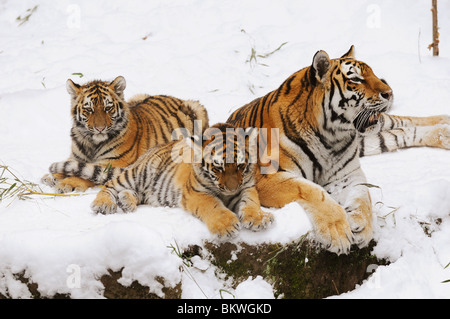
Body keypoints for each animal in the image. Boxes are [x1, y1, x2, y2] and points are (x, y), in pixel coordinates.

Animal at [41, 76, 208, 194]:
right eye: (89, 110)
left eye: (108, 108)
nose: (100, 128)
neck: (92, 143)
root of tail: (176, 98)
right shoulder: (76, 158)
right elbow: (69, 165)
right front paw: (51, 177)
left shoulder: (113, 163)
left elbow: (83, 173)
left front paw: (66, 183)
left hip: (197, 108)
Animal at [229, 45, 450, 255]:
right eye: (356, 79)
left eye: (372, 73)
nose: (389, 92)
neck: (331, 137)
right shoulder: (267, 178)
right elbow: (312, 190)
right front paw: (337, 233)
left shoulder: (349, 174)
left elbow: (363, 196)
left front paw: (361, 225)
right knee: (400, 132)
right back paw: (445, 133)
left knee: (401, 121)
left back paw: (445, 124)